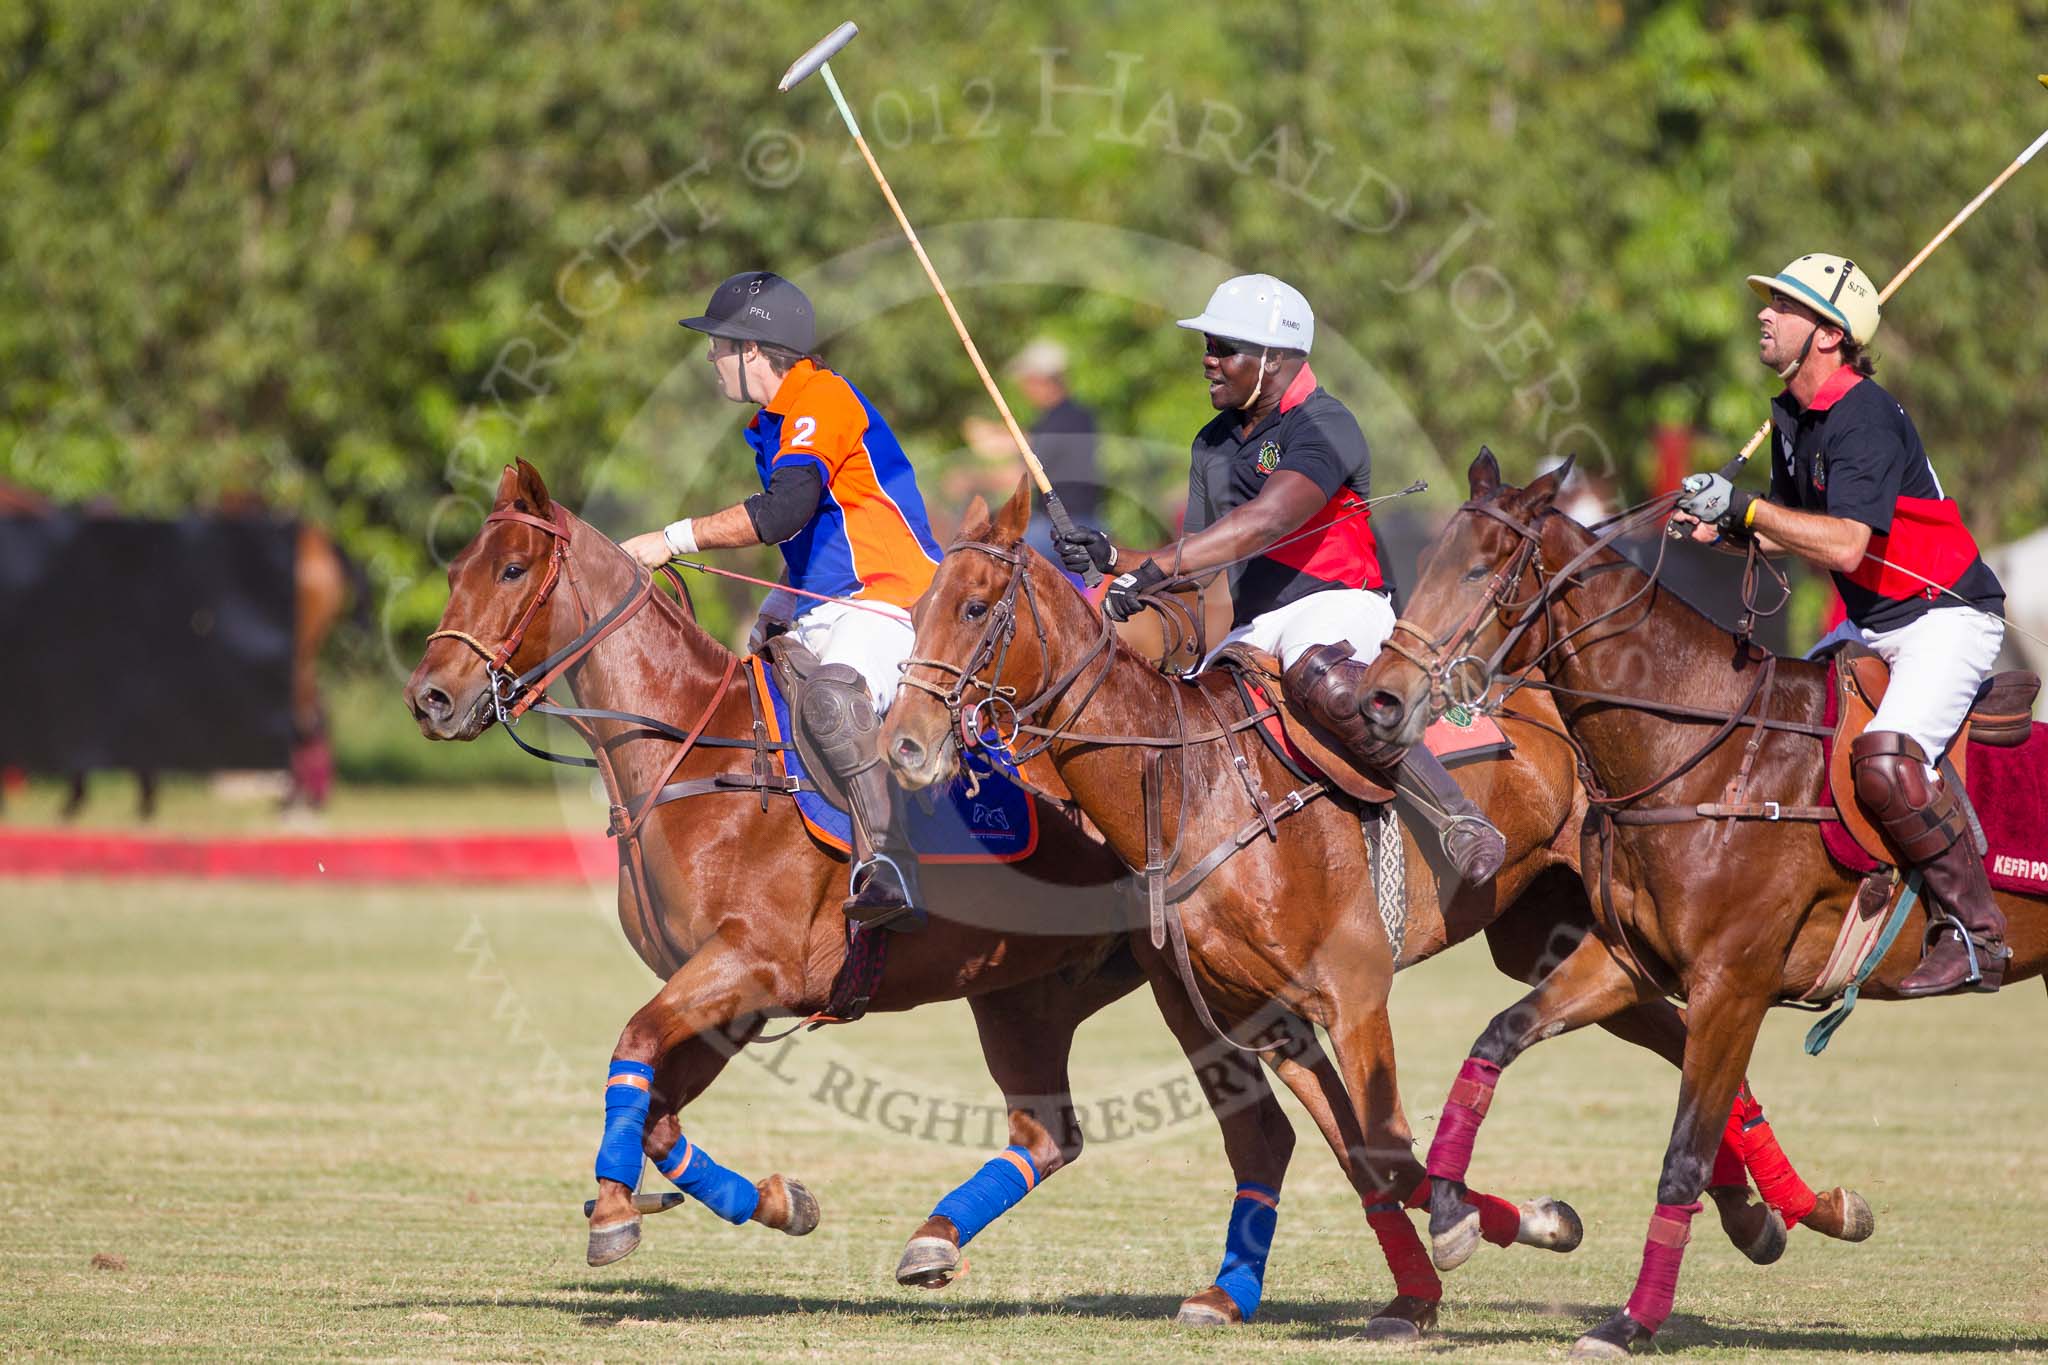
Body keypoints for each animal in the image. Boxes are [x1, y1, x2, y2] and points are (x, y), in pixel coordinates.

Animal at [403, 464, 1523, 1326]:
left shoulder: (748, 966)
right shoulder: (731, 996)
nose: (432, 698)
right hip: (1036, 993)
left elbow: (631, 1047)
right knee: (1073, 1134)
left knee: (1288, 1132)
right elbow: (660, 1115)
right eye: (456, 570)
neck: (694, 753)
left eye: (512, 569)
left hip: (1186, 984)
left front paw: (612, 1215)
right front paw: (777, 1200)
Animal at [880, 482, 1875, 1342]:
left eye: (976, 608)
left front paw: (1507, 1225)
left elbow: (1396, 1154)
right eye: (920, 606)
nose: (905, 745)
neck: (1194, 784)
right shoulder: (1264, 1015)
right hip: (1557, 936)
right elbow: (1367, 1159)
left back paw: (1785, 1207)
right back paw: (1771, 1213)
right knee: (1680, 1034)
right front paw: (1430, 1285)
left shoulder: (1354, 991)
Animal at [1351, 454, 2039, 1358]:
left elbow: (1682, 1151)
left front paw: (1631, 1320)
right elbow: (1496, 1039)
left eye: (1481, 569)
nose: (1382, 701)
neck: (1699, 755)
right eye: (1428, 558)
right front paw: (1454, 1209)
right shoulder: (1625, 961)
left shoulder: (1731, 987)